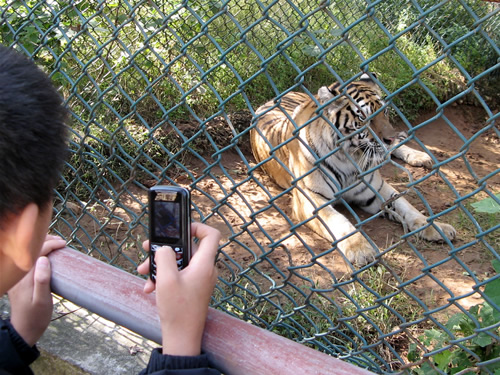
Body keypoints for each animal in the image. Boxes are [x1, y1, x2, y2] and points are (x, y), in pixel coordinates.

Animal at [250, 73, 458, 266]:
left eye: (385, 112)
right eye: (363, 117)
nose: (389, 139)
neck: (349, 158)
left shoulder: (375, 190)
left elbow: (407, 207)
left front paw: (436, 227)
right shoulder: (312, 198)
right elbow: (339, 221)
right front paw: (360, 250)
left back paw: (420, 156)